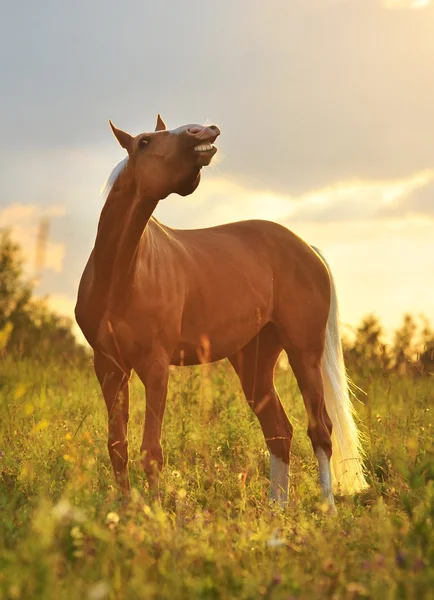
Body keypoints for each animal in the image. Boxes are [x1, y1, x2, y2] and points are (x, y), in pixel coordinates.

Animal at [74, 115, 366, 508]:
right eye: (144, 142)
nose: (203, 130)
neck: (120, 277)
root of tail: (307, 248)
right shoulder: (109, 368)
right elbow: (117, 446)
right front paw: (126, 509)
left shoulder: (154, 367)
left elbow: (151, 450)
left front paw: (154, 512)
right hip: (254, 361)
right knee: (279, 431)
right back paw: (277, 509)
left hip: (304, 352)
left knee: (320, 428)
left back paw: (327, 508)